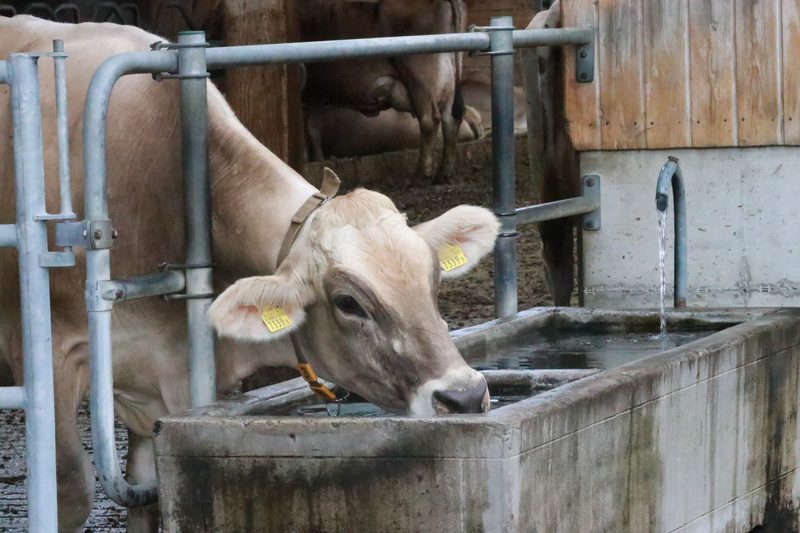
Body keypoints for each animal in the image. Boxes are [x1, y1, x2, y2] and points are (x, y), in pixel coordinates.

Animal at [297, 0, 468, 182]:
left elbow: (309, 128)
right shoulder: (314, 94)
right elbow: (314, 128)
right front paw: (318, 160)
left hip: (420, 75)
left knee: (430, 119)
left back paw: (421, 173)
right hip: (448, 78)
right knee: (451, 119)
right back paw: (444, 173)